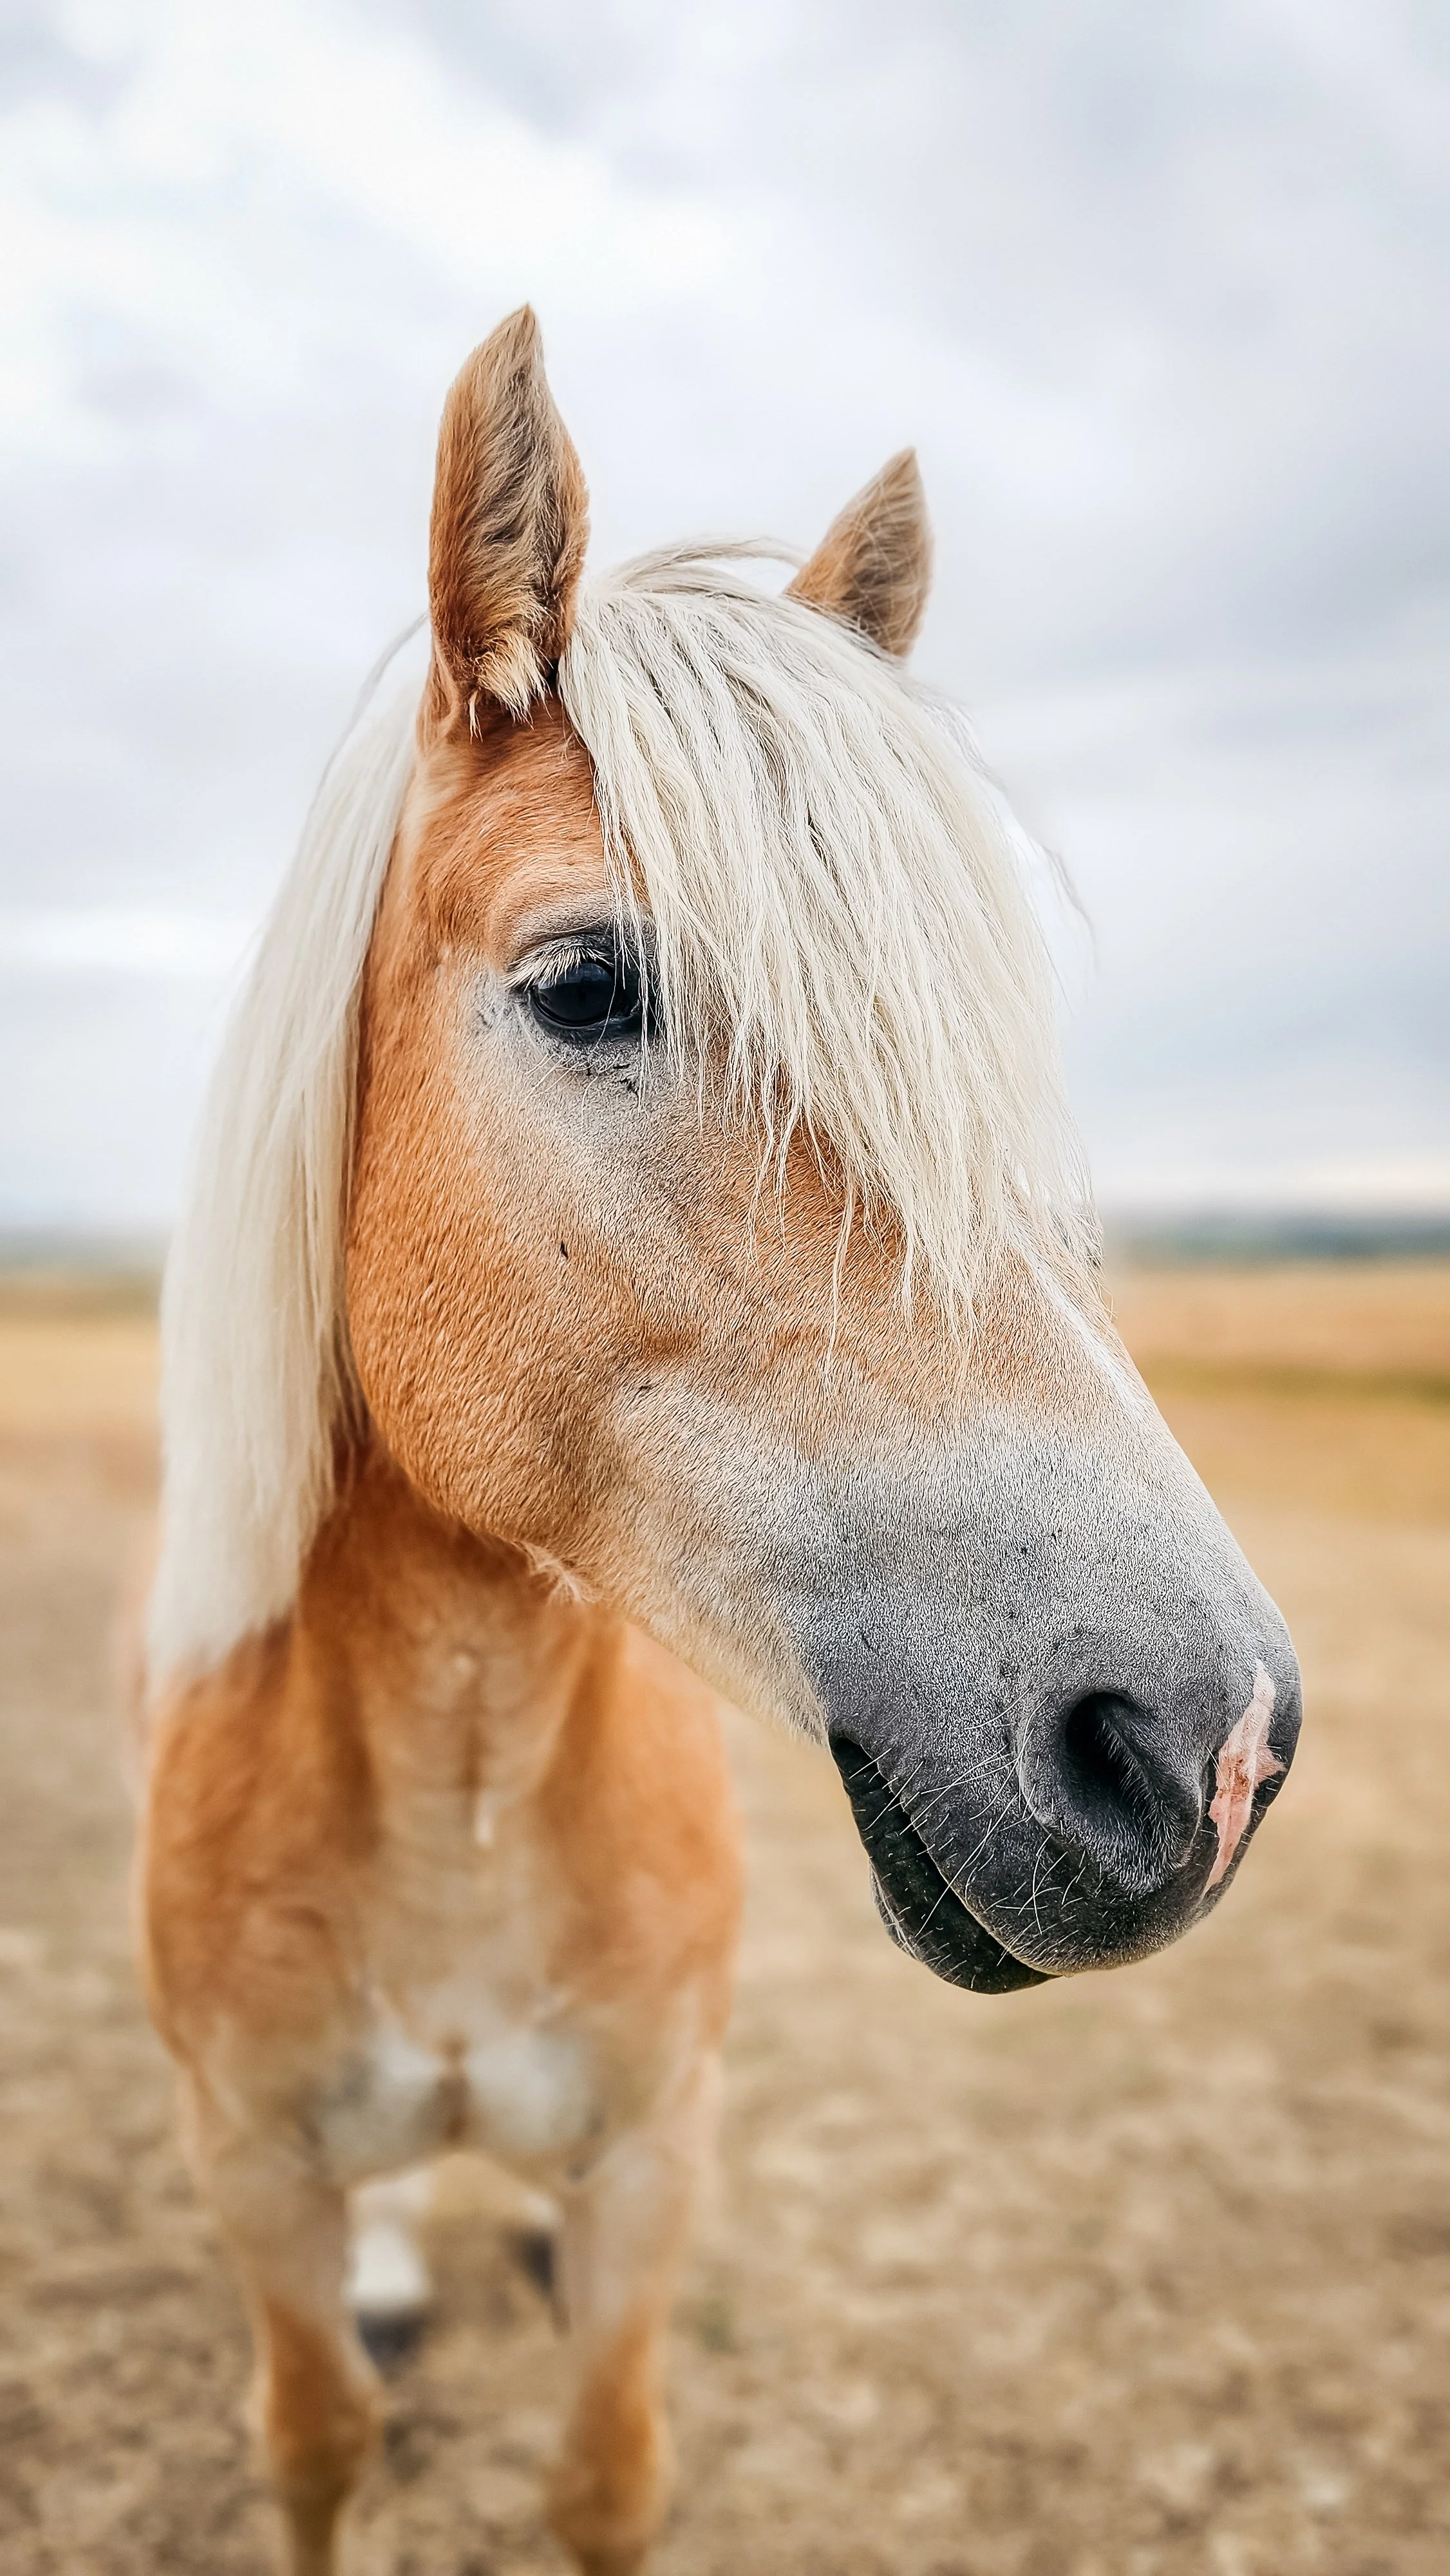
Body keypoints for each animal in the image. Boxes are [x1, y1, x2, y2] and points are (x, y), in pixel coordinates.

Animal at [138, 307, 1301, 2576]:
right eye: (587, 983)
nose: (1202, 1749)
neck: (462, 1791)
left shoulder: (657, 2163)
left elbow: (610, 2474)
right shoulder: (249, 2174)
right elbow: (315, 2445)